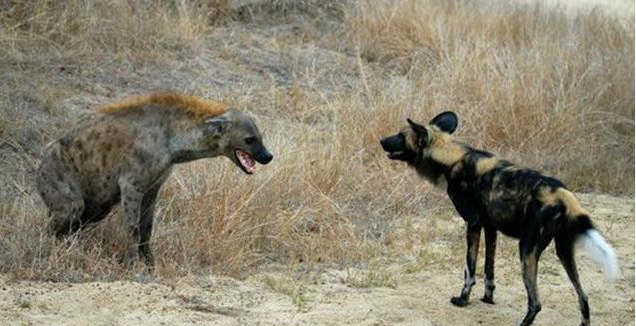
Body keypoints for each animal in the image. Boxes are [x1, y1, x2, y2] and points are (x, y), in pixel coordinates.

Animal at [36, 91, 272, 268]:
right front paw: (132, 265)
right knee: (60, 219)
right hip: (65, 190)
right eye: (249, 140)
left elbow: (147, 227)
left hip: (97, 208)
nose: (269, 156)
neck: (173, 140)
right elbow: (133, 228)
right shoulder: (131, 184)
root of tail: (40, 165)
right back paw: (54, 248)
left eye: (261, 138)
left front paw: (150, 263)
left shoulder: (153, 186)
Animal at [380, 112, 620, 326]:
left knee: (535, 302)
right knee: (583, 296)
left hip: (527, 250)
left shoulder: (473, 224)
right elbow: (489, 270)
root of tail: (564, 194)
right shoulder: (490, 228)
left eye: (400, 135)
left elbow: (469, 270)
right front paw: (488, 299)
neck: (451, 158)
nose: (381, 140)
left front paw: (463, 300)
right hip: (564, 251)